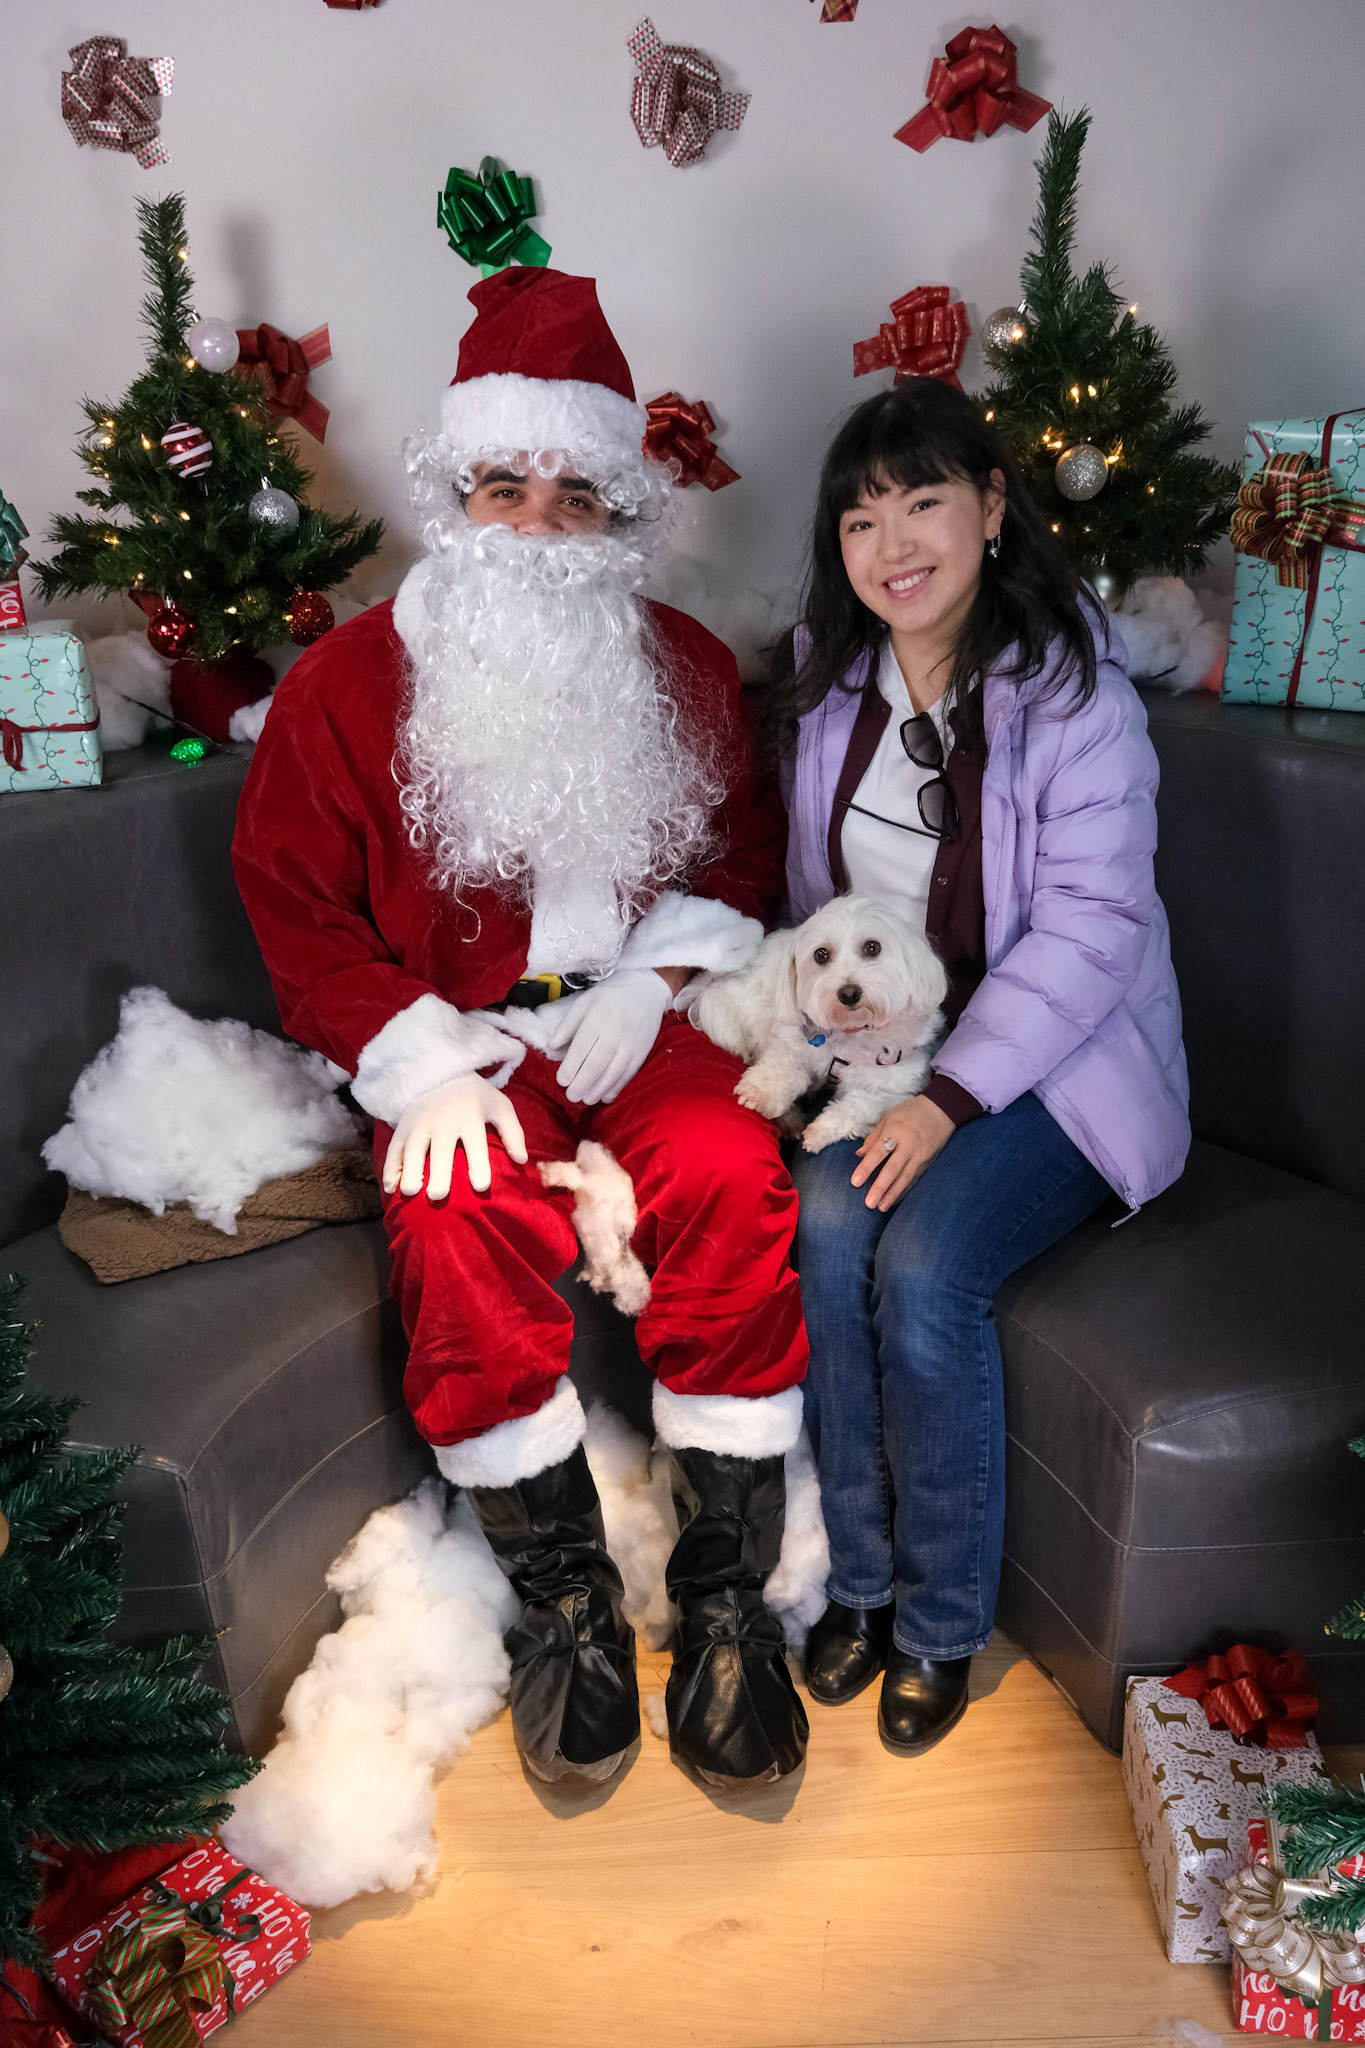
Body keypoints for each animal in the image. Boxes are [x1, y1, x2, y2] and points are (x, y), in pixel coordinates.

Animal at [689, 895, 948, 1152]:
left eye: (873, 947)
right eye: (821, 954)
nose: (849, 993)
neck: (850, 1031)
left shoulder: (895, 1089)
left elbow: (860, 1104)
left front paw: (820, 1131)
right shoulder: (790, 1038)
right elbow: (785, 1067)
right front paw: (761, 1091)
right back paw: (790, 1119)